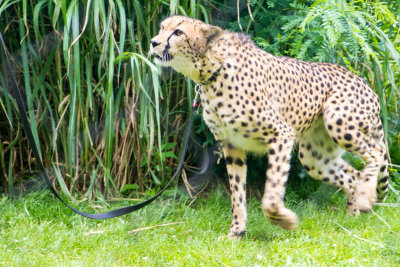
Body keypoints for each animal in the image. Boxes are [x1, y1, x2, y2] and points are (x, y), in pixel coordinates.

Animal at [149, 16, 388, 239]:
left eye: (178, 32)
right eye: (161, 28)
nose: (153, 42)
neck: (213, 71)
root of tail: (364, 83)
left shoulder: (281, 134)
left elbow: (272, 191)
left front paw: (285, 220)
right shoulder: (232, 145)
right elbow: (237, 193)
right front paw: (237, 232)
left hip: (338, 122)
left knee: (375, 154)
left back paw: (365, 197)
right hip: (314, 157)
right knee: (352, 175)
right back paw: (352, 215)